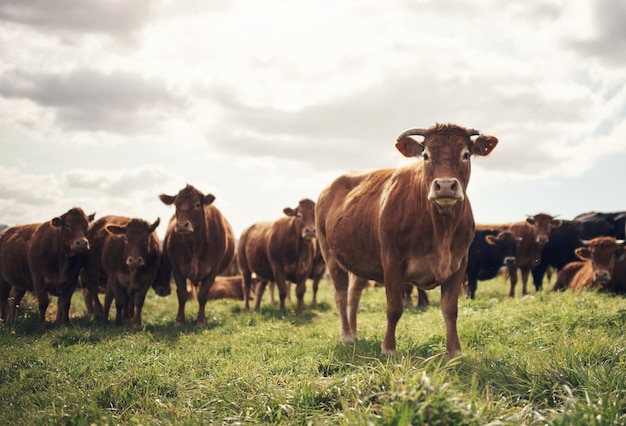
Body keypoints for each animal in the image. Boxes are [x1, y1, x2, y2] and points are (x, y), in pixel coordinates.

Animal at [158, 183, 236, 326]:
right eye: (176, 205)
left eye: (197, 205)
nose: (182, 225)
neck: (194, 245)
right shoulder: (177, 268)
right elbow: (182, 294)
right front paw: (179, 321)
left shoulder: (213, 270)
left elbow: (203, 295)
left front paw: (200, 320)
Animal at [316, 123, 498, 356]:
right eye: (425, 155)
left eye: (465, 154)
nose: (445, 185)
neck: (441, 230)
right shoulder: (392, 261)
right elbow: (394, 308)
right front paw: (388, 348)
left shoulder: (459, 263)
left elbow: (450, 309)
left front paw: (454, 351)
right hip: (330, 255)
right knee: (340, 295)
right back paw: (347, 335)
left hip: (360, 260)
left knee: (353, 295)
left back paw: (355, 333)